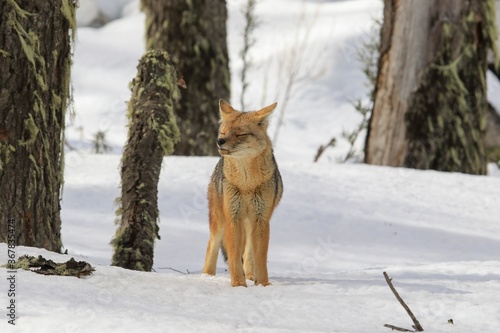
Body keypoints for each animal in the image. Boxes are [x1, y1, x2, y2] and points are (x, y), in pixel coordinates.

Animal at [201, 98, 284, 286]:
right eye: (223, 132)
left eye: (240, 134)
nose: (220, 141)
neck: (247, 184)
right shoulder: (233, 217)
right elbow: (233, 256)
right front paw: (239, 284)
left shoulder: (262, 219)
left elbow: (260, 257)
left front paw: (263, 284)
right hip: (219, 222)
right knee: (211, 246)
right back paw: (206, 276)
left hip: (250, 222)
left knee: (247, 253)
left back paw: (251, 275)